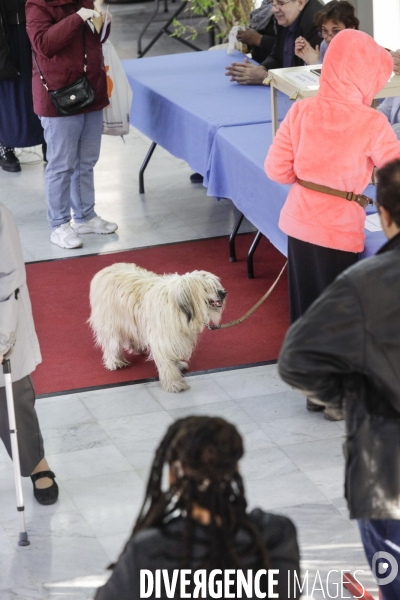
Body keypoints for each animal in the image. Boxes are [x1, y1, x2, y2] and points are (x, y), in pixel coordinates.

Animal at [88, 262, 225, 394]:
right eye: (206, 288)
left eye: (216, 285)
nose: (223, 293)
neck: (178, 305)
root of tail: (104, 271)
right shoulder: (162, 338)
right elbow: (166, 361)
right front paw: (173, 383)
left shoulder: (175, 336)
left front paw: (177, 365)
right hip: (110, 321)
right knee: (111, 342)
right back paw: (115, 361)